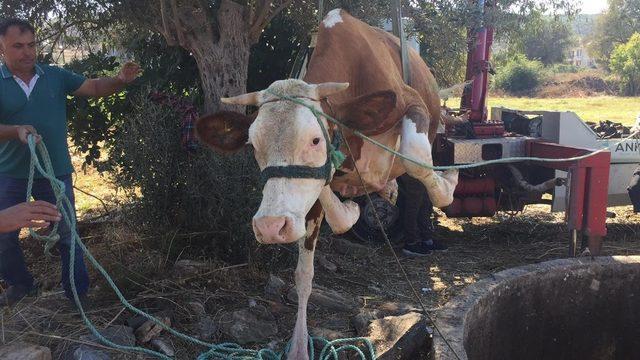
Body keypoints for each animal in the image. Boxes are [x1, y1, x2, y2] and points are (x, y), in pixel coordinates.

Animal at [198, 8, 458, 360]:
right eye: (253, 145)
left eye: (315, 139)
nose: (269, 226)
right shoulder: (312, 192)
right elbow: (305, 271)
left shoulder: (411, 102)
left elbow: (416, 156)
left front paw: (450, 183)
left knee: (418, 179)